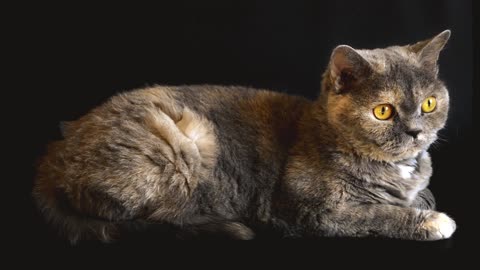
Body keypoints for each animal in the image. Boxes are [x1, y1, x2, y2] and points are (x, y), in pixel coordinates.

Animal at [32, 29, 454, 243]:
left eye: (430, 103)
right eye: (383, 111)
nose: (416, 131)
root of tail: (53, 155)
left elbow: (422, 193)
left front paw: (422, 198)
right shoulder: (312, 212)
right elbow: (378, 213)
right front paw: (432, 221)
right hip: (187, 141)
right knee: (155, 215)